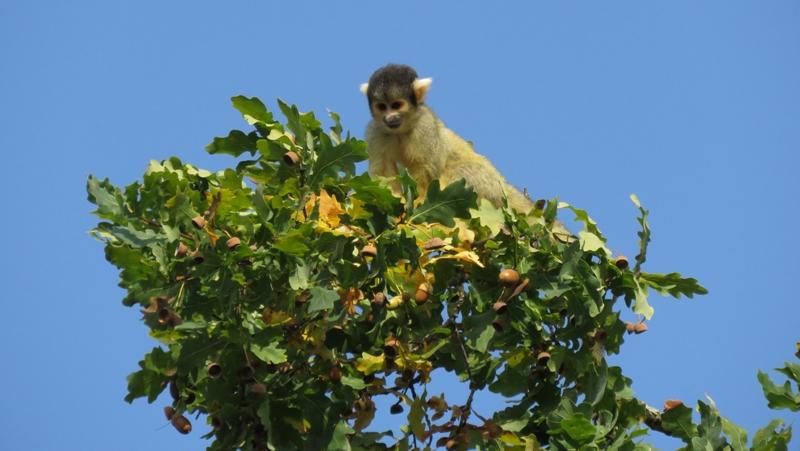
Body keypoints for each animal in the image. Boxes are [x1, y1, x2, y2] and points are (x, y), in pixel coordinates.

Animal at [360, 63, 536, 214]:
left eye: (396, 105)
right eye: (382, 107)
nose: (390, 118)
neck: (401, 130)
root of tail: (503, 184)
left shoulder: (425, 125)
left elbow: (426, 171)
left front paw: (419, 200)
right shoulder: (376, 131)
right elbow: (383, 174)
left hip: (487, 182)